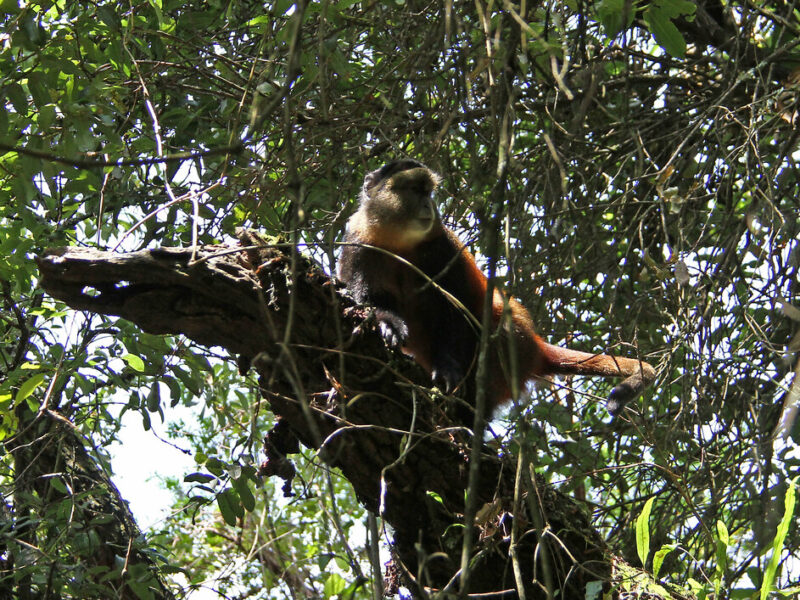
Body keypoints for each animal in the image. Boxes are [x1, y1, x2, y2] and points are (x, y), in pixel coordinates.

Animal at [338, 159, 655, 417]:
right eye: (416, 190)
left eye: (429, 192)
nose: (429, 205)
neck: (399, 242)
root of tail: (537, 350)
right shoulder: (358, 243)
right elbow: (369, 297)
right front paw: (388, 323)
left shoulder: (443, 248)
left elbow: (457, 310)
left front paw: (449, 370)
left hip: (515, 348)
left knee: (496, 321)